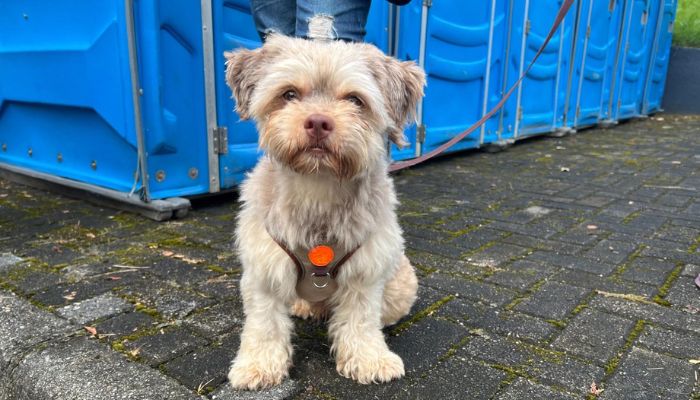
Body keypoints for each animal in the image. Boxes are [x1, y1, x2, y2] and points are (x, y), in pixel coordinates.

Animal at [226, 34, 422, 390]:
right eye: (289, 94)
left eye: (355, 100)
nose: (318, 122)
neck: (318, 188)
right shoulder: (263, 271)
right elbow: (264, 324)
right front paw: (258, 365)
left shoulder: (366, 272)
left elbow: (361, 321)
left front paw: (369, 359)